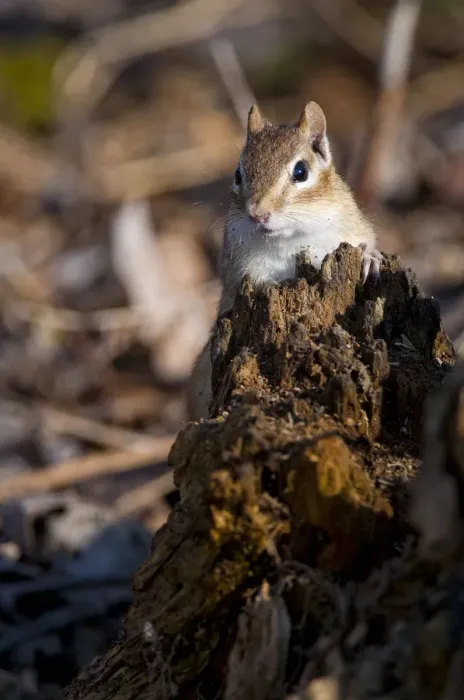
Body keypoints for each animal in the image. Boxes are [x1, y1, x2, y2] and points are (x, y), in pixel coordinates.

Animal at [187, 101, 382, 420]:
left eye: (301, 171)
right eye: (238, 173)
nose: (258, 213)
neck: (293, 238)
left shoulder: (353, 226)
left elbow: (368, 242)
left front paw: (369, 257)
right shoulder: (242, 268)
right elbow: (255, 283)